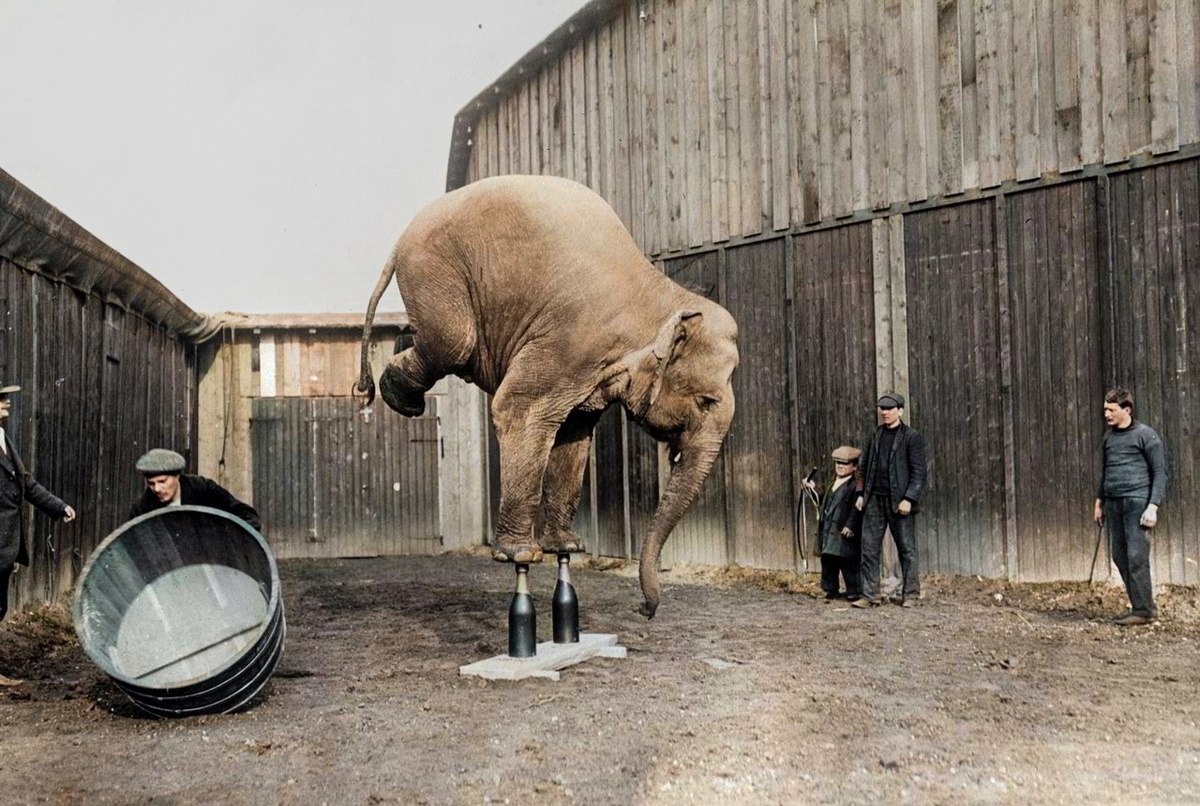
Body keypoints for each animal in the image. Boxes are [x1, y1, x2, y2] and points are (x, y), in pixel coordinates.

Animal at [350, 176, 734, 618]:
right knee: (454, 342)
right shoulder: (569, 341)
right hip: (435, 271)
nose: (645, 610)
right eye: (706, 401)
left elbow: (575, 432)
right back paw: (401, 399)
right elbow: (520, 410)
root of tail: (400, 239)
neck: (659, 296)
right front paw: (520, 554)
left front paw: (567, 546)